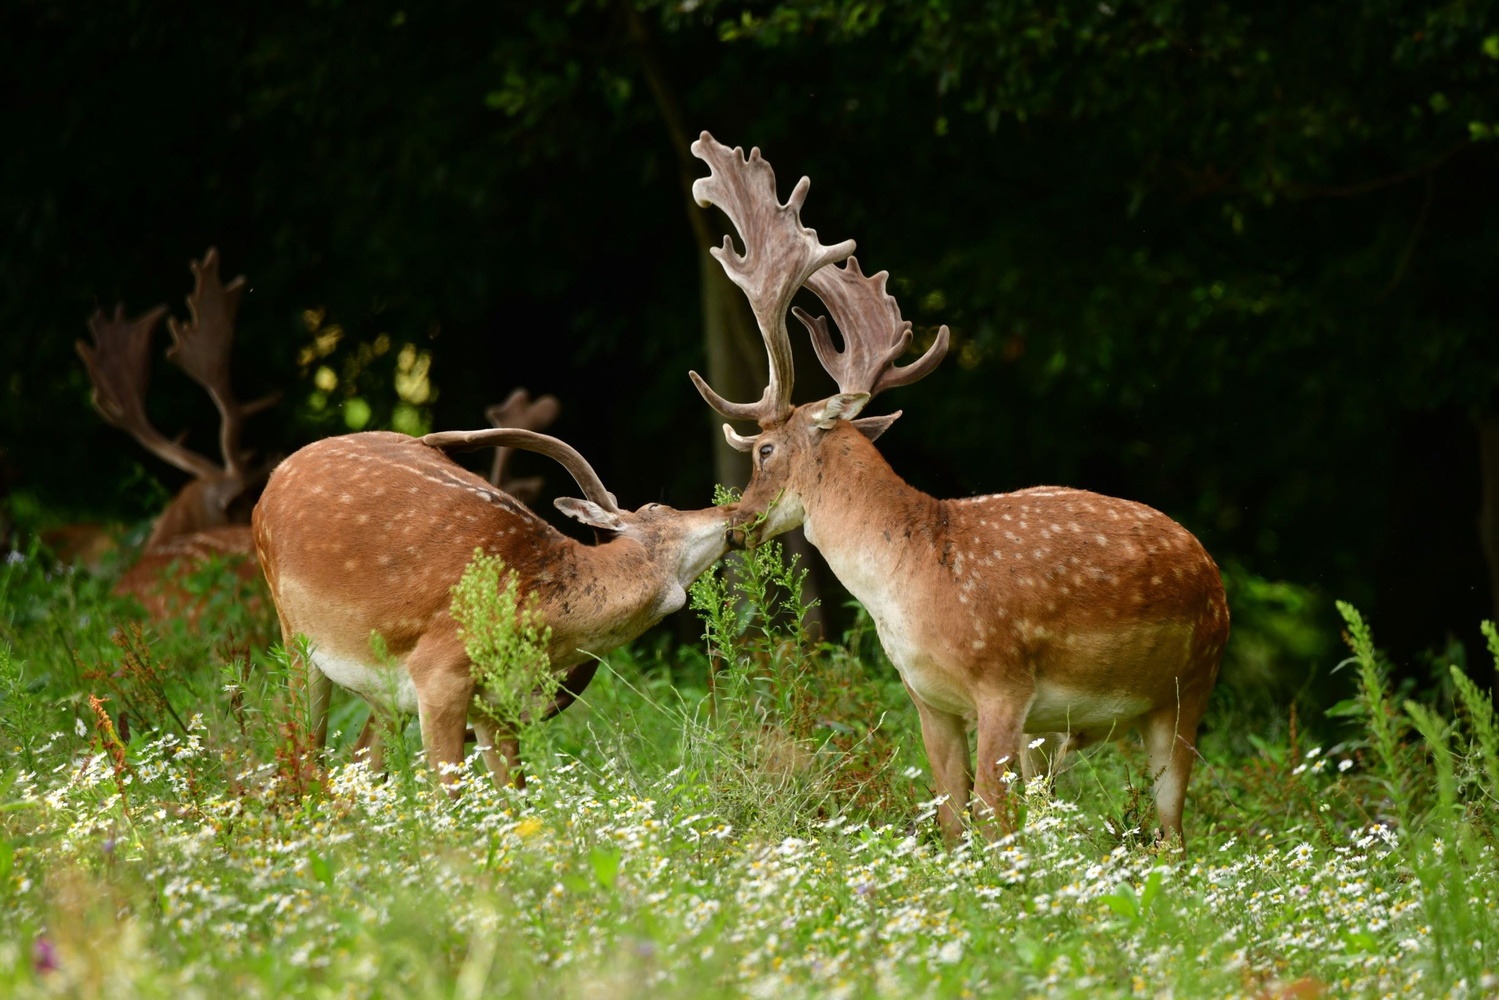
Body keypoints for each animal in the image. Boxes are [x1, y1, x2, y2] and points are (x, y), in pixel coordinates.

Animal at [254, 431, 734, 791]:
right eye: (657, 506)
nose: (732, 510)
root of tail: (274, 477)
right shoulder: (437, 672)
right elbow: (447, 797)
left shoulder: (498, 704)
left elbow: (517, 801)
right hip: (294, 635)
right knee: (308, 753)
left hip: (384, 690)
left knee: (361, 763)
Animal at [689, 132, 1229, 851]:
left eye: (764, 450)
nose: (736, 523)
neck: (913, 578)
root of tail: (1212, 570)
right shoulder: (927, 699)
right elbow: (951, 816)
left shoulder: (1002, 680)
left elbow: (992, 816)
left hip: (1190, 684)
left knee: (1173, 829)